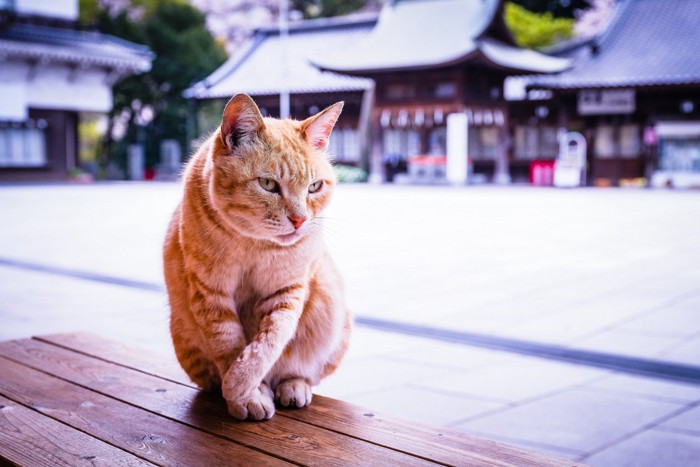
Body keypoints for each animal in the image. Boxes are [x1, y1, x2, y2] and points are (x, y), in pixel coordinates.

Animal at [163, 94, 350, 420]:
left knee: (299, 371)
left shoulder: (288, 291)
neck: (254, 245)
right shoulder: (210, 293)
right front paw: (244, 394)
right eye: (268, 184)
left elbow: (271, 341)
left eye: (314, 187)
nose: (300, 220)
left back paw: (293, 386)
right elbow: (228, 344)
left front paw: (241, 383)